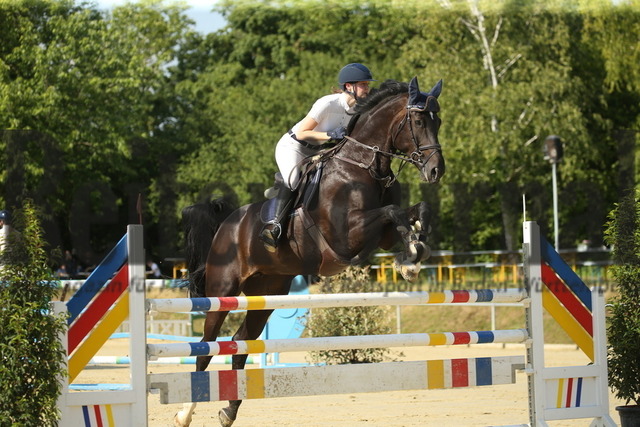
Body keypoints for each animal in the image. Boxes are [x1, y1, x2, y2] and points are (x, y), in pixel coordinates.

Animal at [175, 77, 444, 427]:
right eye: (419, 121)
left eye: (438, 122)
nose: (436, 171)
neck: (363, 166)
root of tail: (227, 223)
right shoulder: (347, 235)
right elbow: (392, 211)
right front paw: (411, 257)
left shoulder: (380, 235)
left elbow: (411, 211)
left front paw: (414, 251)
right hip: (222, 292)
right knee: (206, 347)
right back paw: (185, 412)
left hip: (266, 294)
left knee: (240, 344)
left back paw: (228, 411)